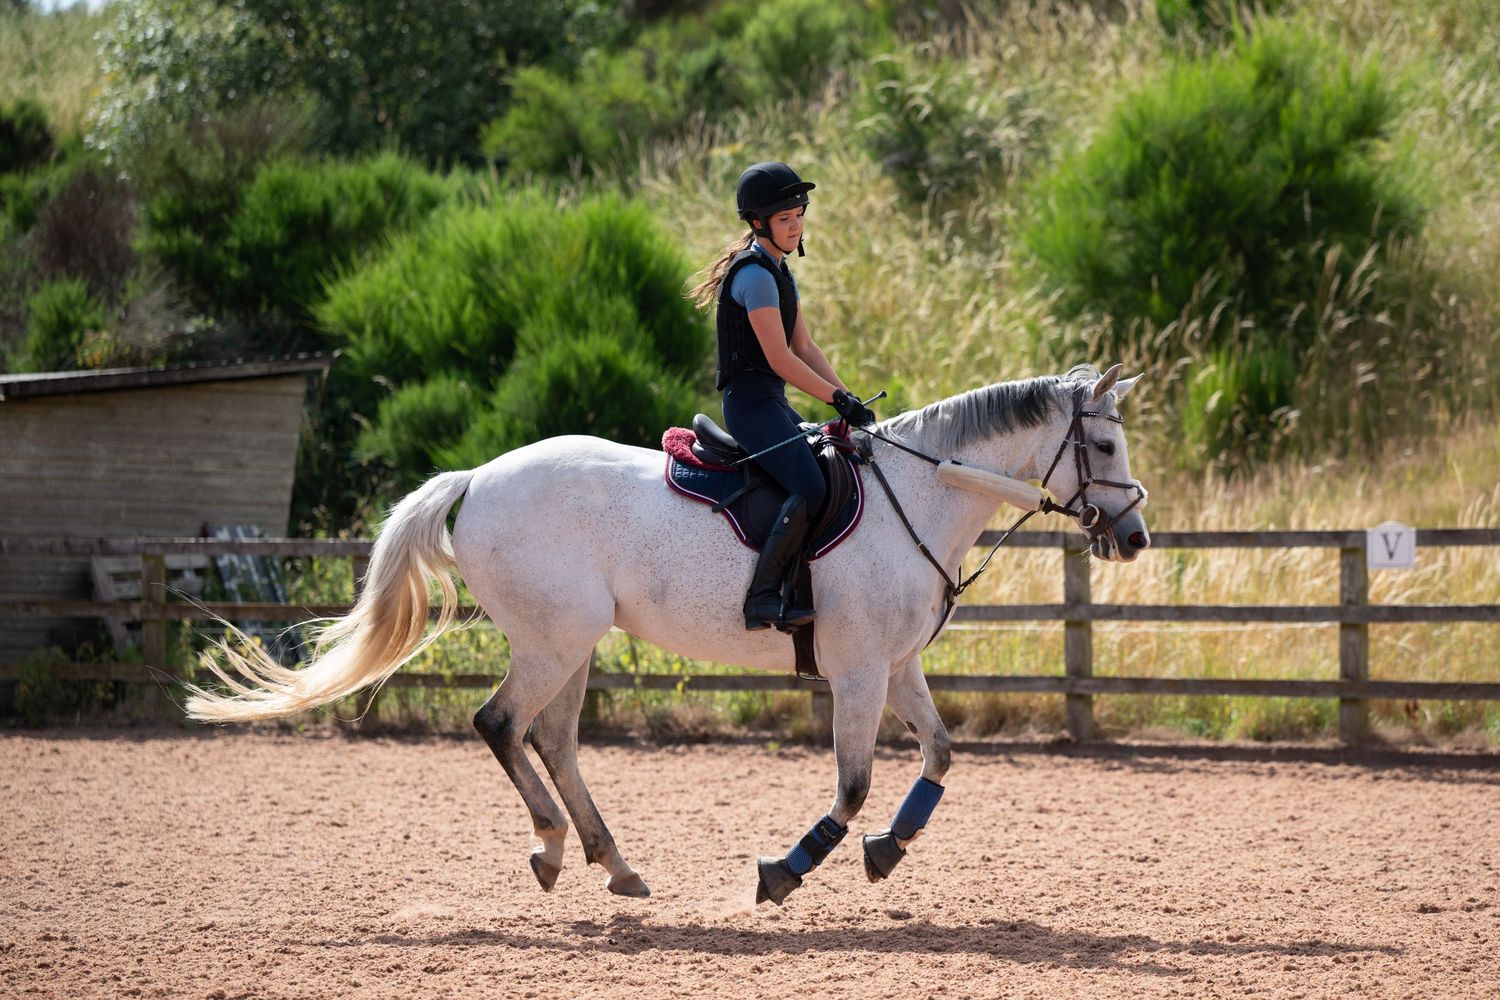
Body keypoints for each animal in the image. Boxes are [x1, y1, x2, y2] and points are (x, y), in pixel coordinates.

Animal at [185, 363, 1150, 905]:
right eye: (1102, 447)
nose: (1135, 537)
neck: (917, 495)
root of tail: (479, 477)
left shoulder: (898, 666)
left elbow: (941, 756)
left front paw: (886, 852)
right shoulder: (859, 672)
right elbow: (852, 785)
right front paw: (784, 872)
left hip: (570, 645)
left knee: (552, 738)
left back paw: (611, 864)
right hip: (552, 641)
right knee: (502, 724)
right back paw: (554, 847)